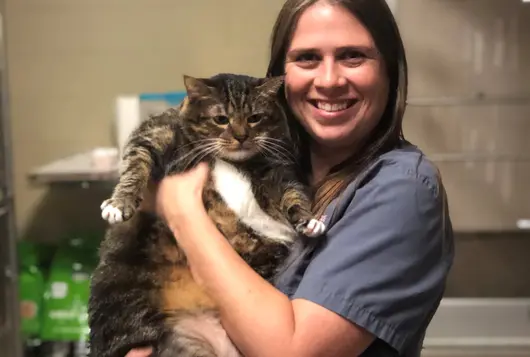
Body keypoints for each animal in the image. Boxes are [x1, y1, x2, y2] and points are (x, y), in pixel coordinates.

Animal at [86, 73, 324, 356]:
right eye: (221, 119)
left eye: (255, 117)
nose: (241, 136)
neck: (235, 162)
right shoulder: (154, 133)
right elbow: (136, 164)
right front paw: (119, 203)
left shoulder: (276, 172)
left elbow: (293, 196)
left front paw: (308, 220)